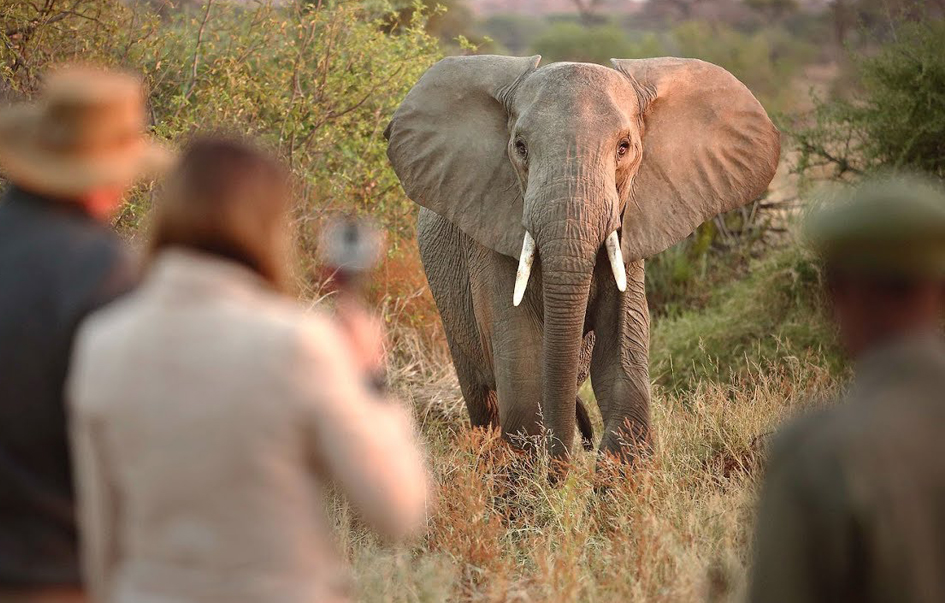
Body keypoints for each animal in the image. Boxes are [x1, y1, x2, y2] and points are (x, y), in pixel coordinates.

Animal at [386, 55, 780, 462]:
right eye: (520, 147)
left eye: (624, 147)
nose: (566, 459)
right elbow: (523, 374)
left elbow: (622, 359)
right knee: (484, 400)